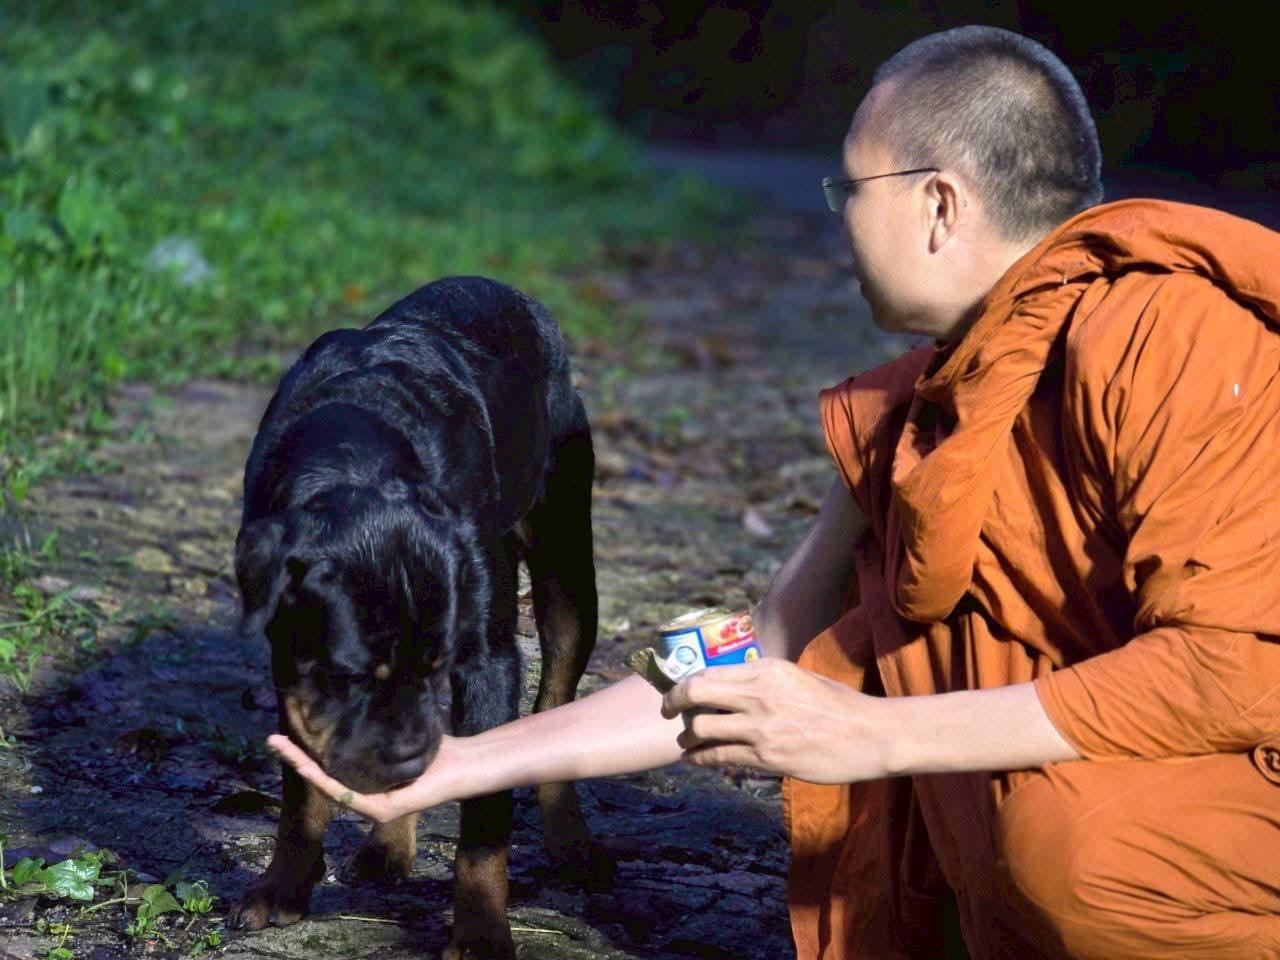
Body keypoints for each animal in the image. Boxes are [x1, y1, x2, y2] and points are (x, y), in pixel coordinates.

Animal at [228, 276, 605, 958]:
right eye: (351, 676)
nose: (403, 757)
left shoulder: (486, 659)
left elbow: (484, 813)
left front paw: (480, 932)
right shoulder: (291, 657)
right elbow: (300, 790)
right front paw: (284, 886)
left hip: (567, 557)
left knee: (557, 694)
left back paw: (571, 842)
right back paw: (388, 845)